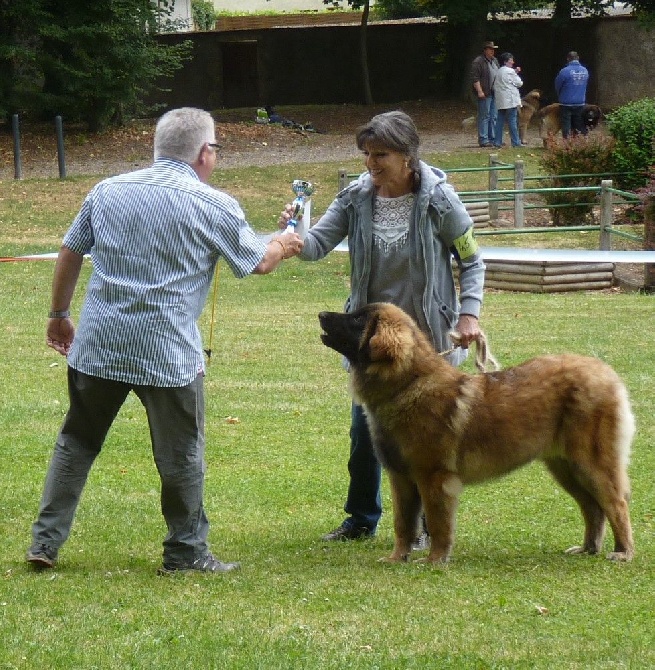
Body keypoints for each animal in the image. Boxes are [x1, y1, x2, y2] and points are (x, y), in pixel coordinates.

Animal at [318, 304, 636, 568]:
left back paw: (623, 552)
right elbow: (403, 523)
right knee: (593, 507)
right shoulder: (402, 479)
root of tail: (607, 373)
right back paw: (588, 549)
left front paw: (434, 560)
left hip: (592, 464)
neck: (407, 385)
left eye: (358, 319)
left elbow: (437, 524)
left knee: (616, 504)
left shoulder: (434, 479)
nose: (321, 314)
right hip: (565, 468)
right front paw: (398, 558)